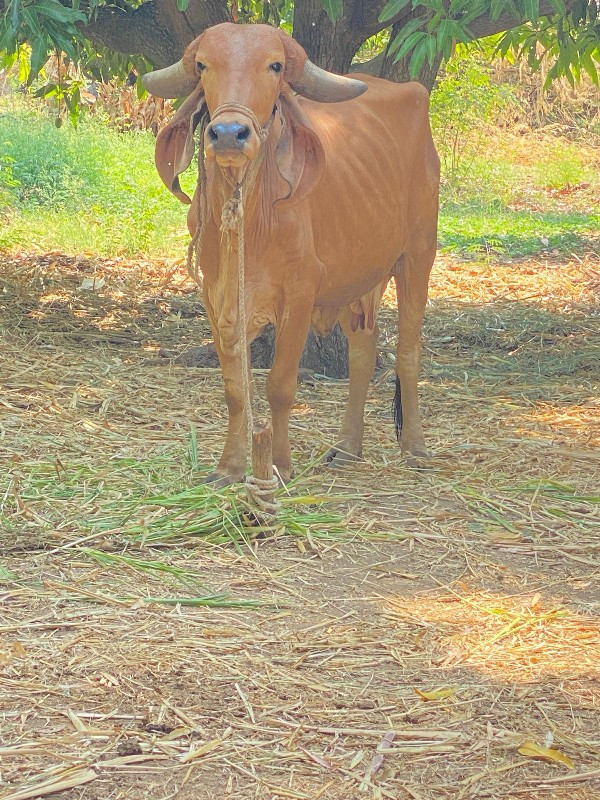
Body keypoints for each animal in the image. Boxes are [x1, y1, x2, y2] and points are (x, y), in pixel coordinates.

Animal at [142, 21, 438, 488]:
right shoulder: (218, 297)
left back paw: (415, 448)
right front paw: (229, 468)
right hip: (356, 280)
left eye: (275, 66)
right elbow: (236, 389)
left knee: (408, 352)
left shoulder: (300, 294)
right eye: (203, 65)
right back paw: (347, 447)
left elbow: (279, 386)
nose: (229, 134)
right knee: (362, 354)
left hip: (418, 255)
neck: (253, 219)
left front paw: (279, 465)